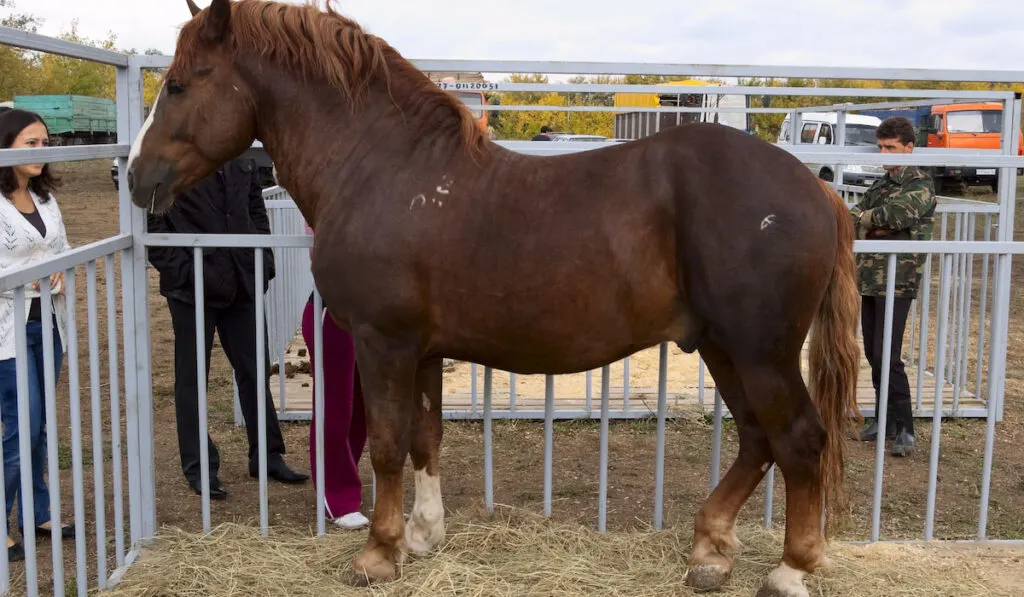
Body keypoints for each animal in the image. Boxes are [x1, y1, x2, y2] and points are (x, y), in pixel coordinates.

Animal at [128, 2, 864, 593]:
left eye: (180, 83)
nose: (137, 177)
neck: (382, 169)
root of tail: (815, 189)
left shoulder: (382, 340)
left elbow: (387, 443)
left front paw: (379, 554)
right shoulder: (422, 349)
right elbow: (425, 436)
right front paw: (424, 535)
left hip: (759, 351)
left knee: (799, 439)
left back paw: (789, 568)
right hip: (721, 345)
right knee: (757, 438)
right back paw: (710, 549)